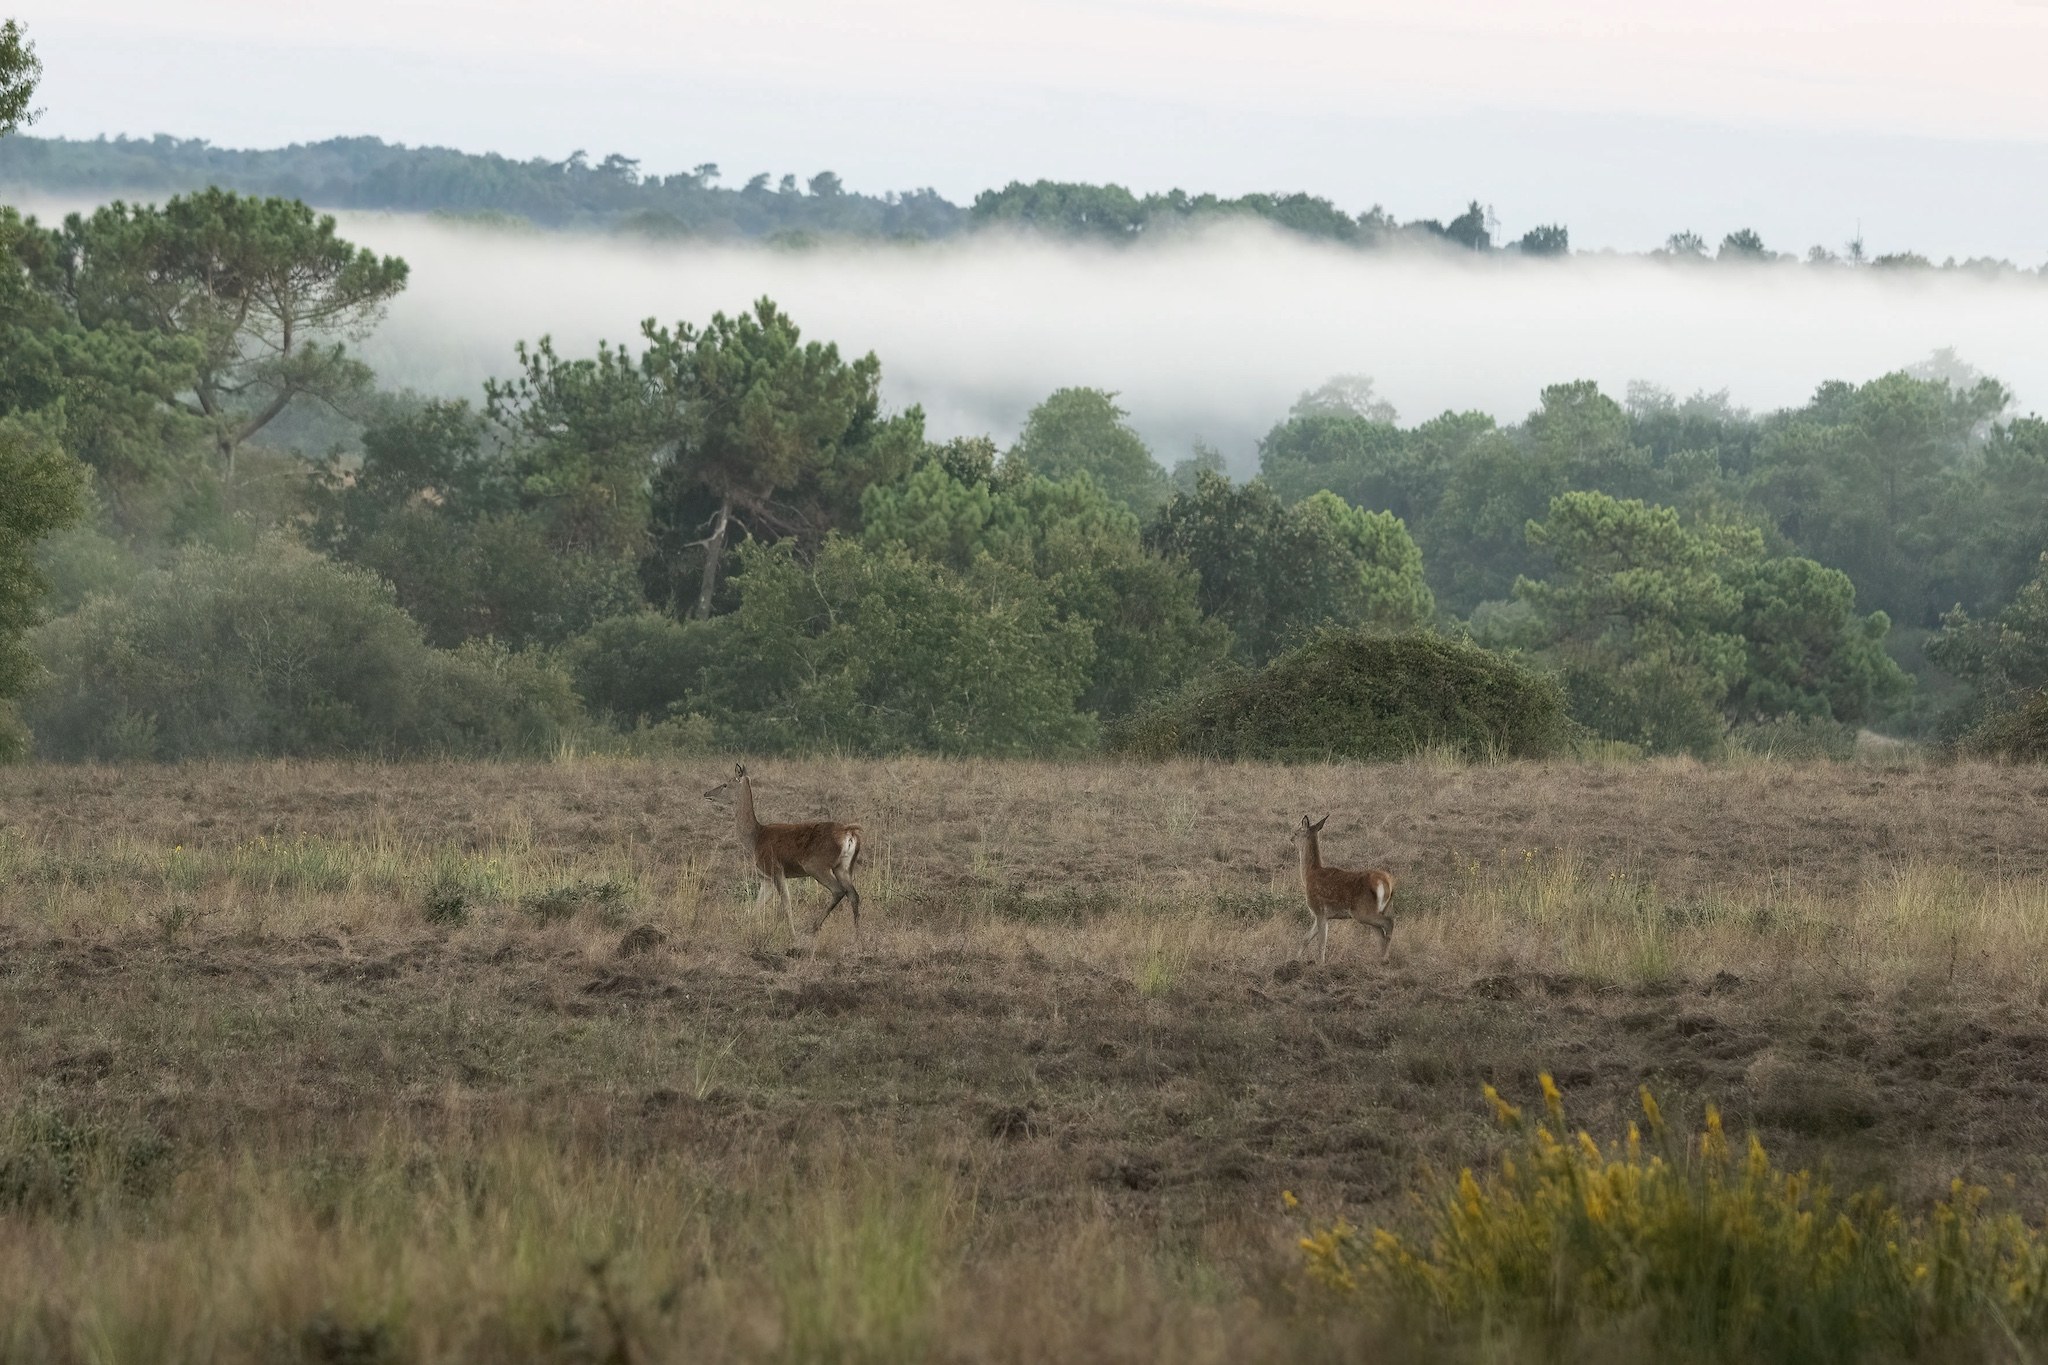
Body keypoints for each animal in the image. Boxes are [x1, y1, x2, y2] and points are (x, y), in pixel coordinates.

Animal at [703, 763, 864, 945]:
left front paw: (792, 936)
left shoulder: (776, 869)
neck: (754, 839)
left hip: (816, 865)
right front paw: (741, 930)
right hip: (844, 867)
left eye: (725, 784)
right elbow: (757, 907)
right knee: (853, 894)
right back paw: (857, 936)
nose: (706, 793)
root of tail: (849, 832)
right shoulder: (766, 877)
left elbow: (786, 904)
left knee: (838, 890)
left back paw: (814, 927)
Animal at [1290, 814, 1394, 965]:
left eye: (1296, 832)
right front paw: (1292, 960)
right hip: (1379, 909)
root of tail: (1386, 882)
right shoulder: (1323, 915)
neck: (1309, 875)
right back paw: (1380, 960)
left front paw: (1320, 964)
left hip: (1362, 910)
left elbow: (1321, 943)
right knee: (1380, 933)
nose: (1291, 838)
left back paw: (1385, 959)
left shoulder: (1319, 909)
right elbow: (1306, 938)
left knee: (1389, 923)